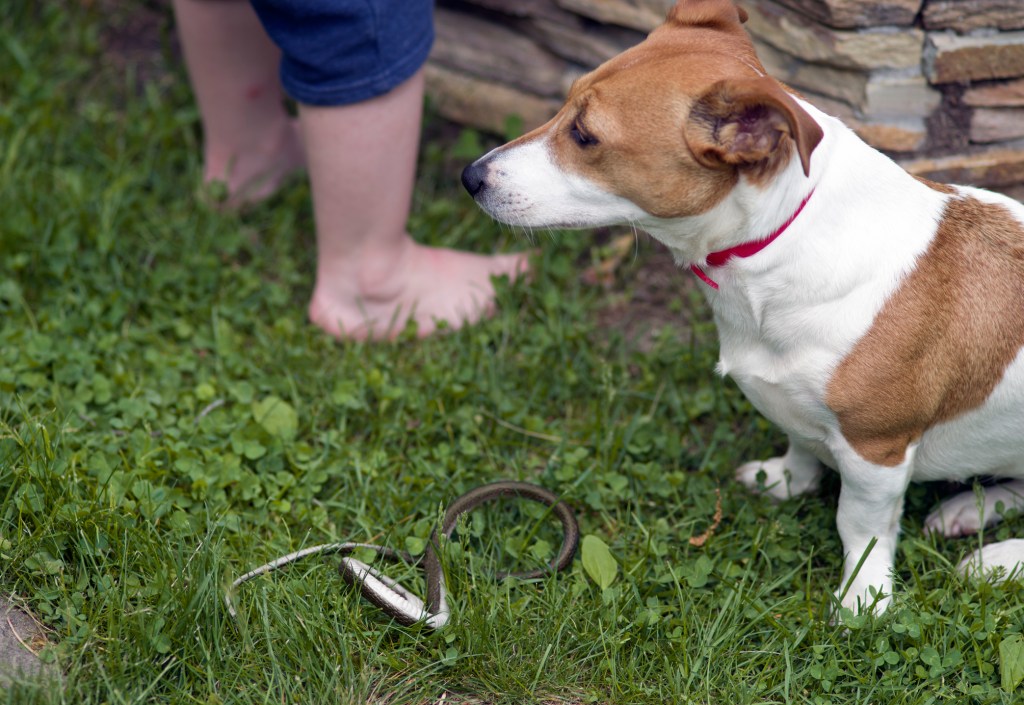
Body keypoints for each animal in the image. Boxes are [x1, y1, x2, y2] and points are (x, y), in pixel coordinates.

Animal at [464, 0, 1024, 614]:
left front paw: (862, 600)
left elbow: (859, 526)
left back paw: (997, 558)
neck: (784, 234)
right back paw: (971, 509)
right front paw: (784, 479)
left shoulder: (875, 450)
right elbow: (800, 445)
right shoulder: (798, 410)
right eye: (566, 103)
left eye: (585, 136)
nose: (470, 177)